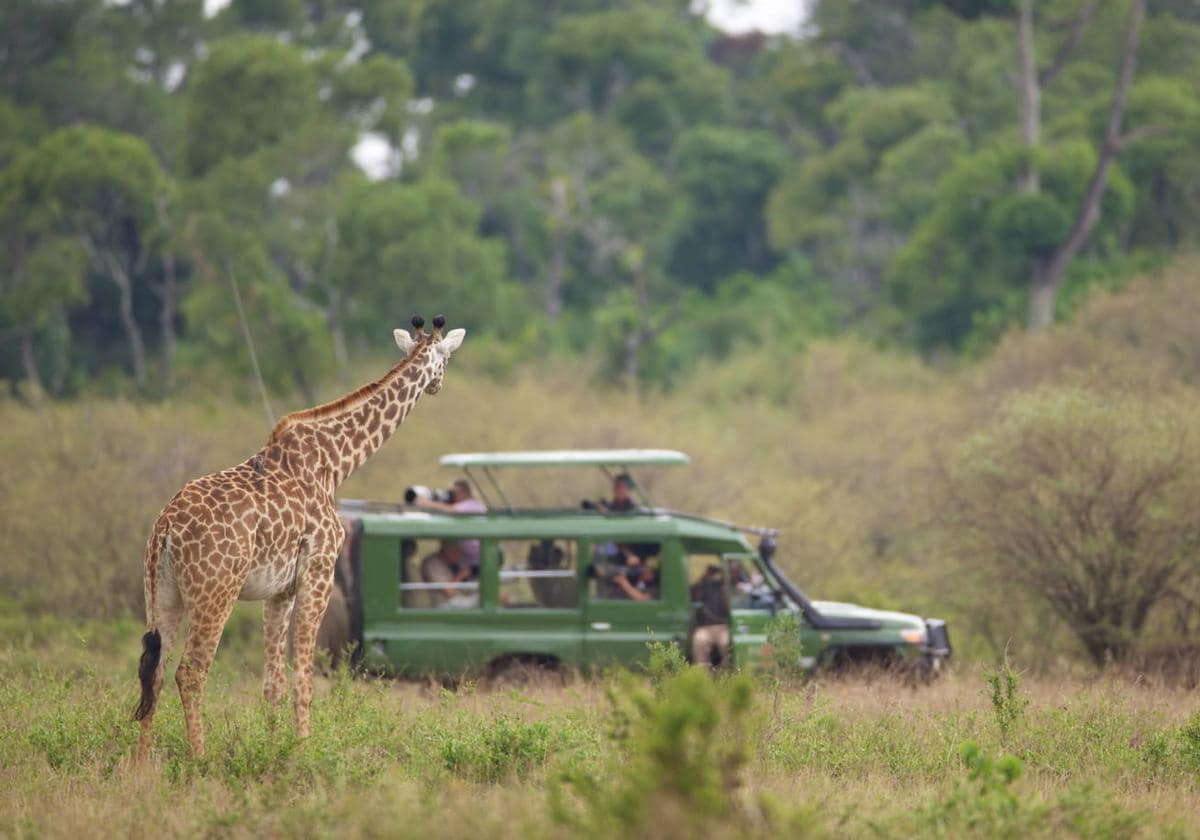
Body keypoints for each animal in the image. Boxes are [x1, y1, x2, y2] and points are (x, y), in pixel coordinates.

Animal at [133, 312, 463, 758]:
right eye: (445, 358)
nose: (437, 385)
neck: (333, 463)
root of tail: (165, 526)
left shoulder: (279, 591)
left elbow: (273, 683)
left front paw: (277, 753)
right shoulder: (318, 572)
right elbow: (304, 678)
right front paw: (305, 751)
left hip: (161, 594)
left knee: (154, 672)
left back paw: (141, 764)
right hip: (214, 592)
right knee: (191, 672)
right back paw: (199, 759)